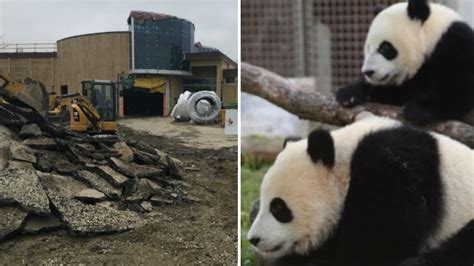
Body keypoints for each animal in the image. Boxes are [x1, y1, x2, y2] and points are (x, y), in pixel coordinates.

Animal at [336, 0, 474, 122]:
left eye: (385, 48)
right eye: (368, 48)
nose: (368, 72)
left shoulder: (456, 46)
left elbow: (459, 88)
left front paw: (420, 109)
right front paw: (348, 94)